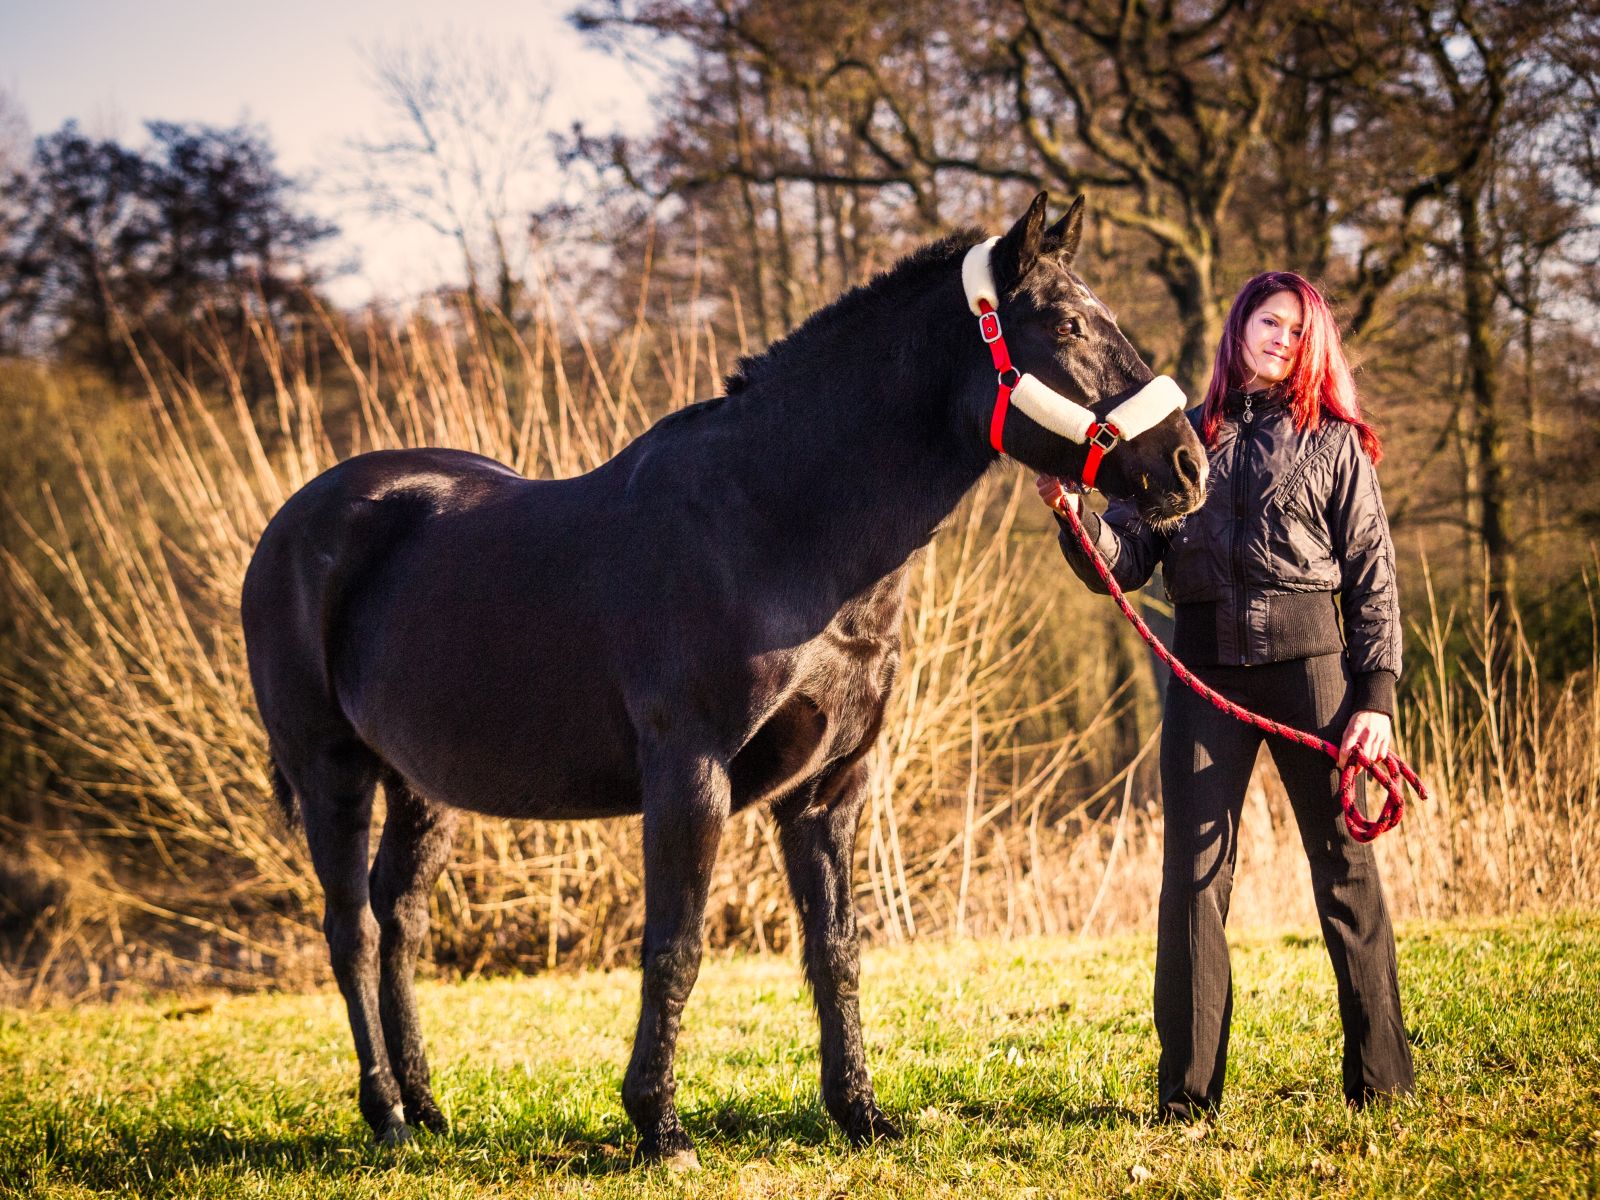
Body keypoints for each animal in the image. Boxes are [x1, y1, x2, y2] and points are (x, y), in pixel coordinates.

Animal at [241, 193, 1208, 1168]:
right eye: (1068, 324)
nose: (1188, 466)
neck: (774, 525)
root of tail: (294, 521)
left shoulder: (829, 788)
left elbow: (836, 950)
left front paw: (860, 1114)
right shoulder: (689, 776)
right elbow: (676, 947)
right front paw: (659, 1126)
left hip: (420, 787)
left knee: (400, 921)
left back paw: (430, 1109)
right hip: (331, 772)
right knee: (352, 930)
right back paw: (387, 1116)